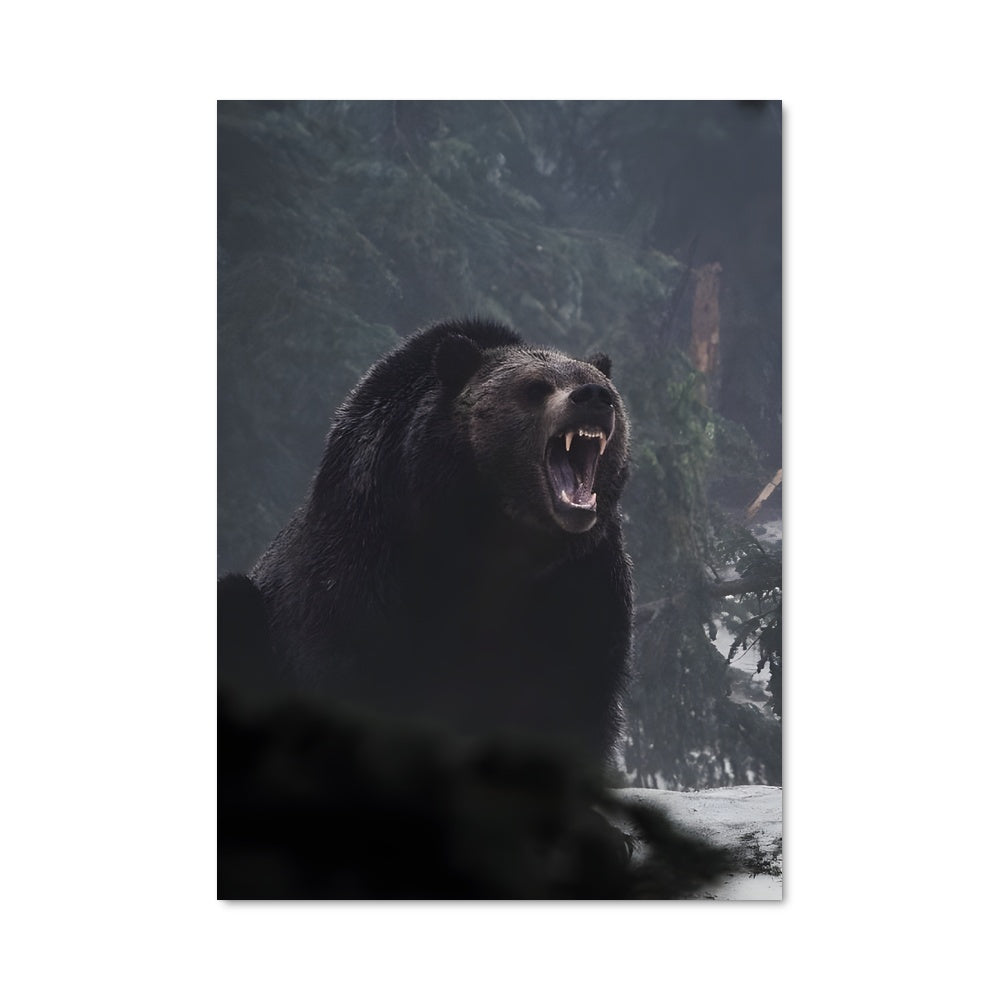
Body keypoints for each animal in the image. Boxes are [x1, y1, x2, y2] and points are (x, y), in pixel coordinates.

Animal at [246, 318, 633, 771]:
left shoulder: (582, 576)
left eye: (599, 384)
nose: (593, 397)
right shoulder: (369, 548)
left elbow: (575, 695)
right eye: (536, 387)